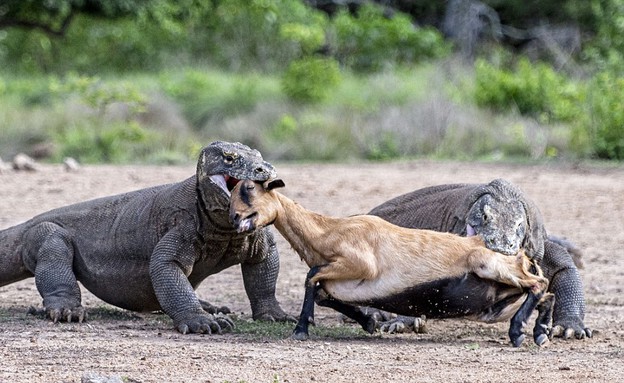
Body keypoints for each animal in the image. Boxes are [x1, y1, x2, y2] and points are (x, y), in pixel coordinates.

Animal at [232, 180, 552, 348]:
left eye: (249, 189)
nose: (235, 218)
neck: (327, 232)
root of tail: (522, 258)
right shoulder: (342, 281)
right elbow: (321, 291)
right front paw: (369, 321)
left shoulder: (361, 264)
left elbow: (311, 277)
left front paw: (301, 328)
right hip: (497, 301)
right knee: (544, 294)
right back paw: (540, 332)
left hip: (490, 265)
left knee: (540, 284)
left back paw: (519, 332)